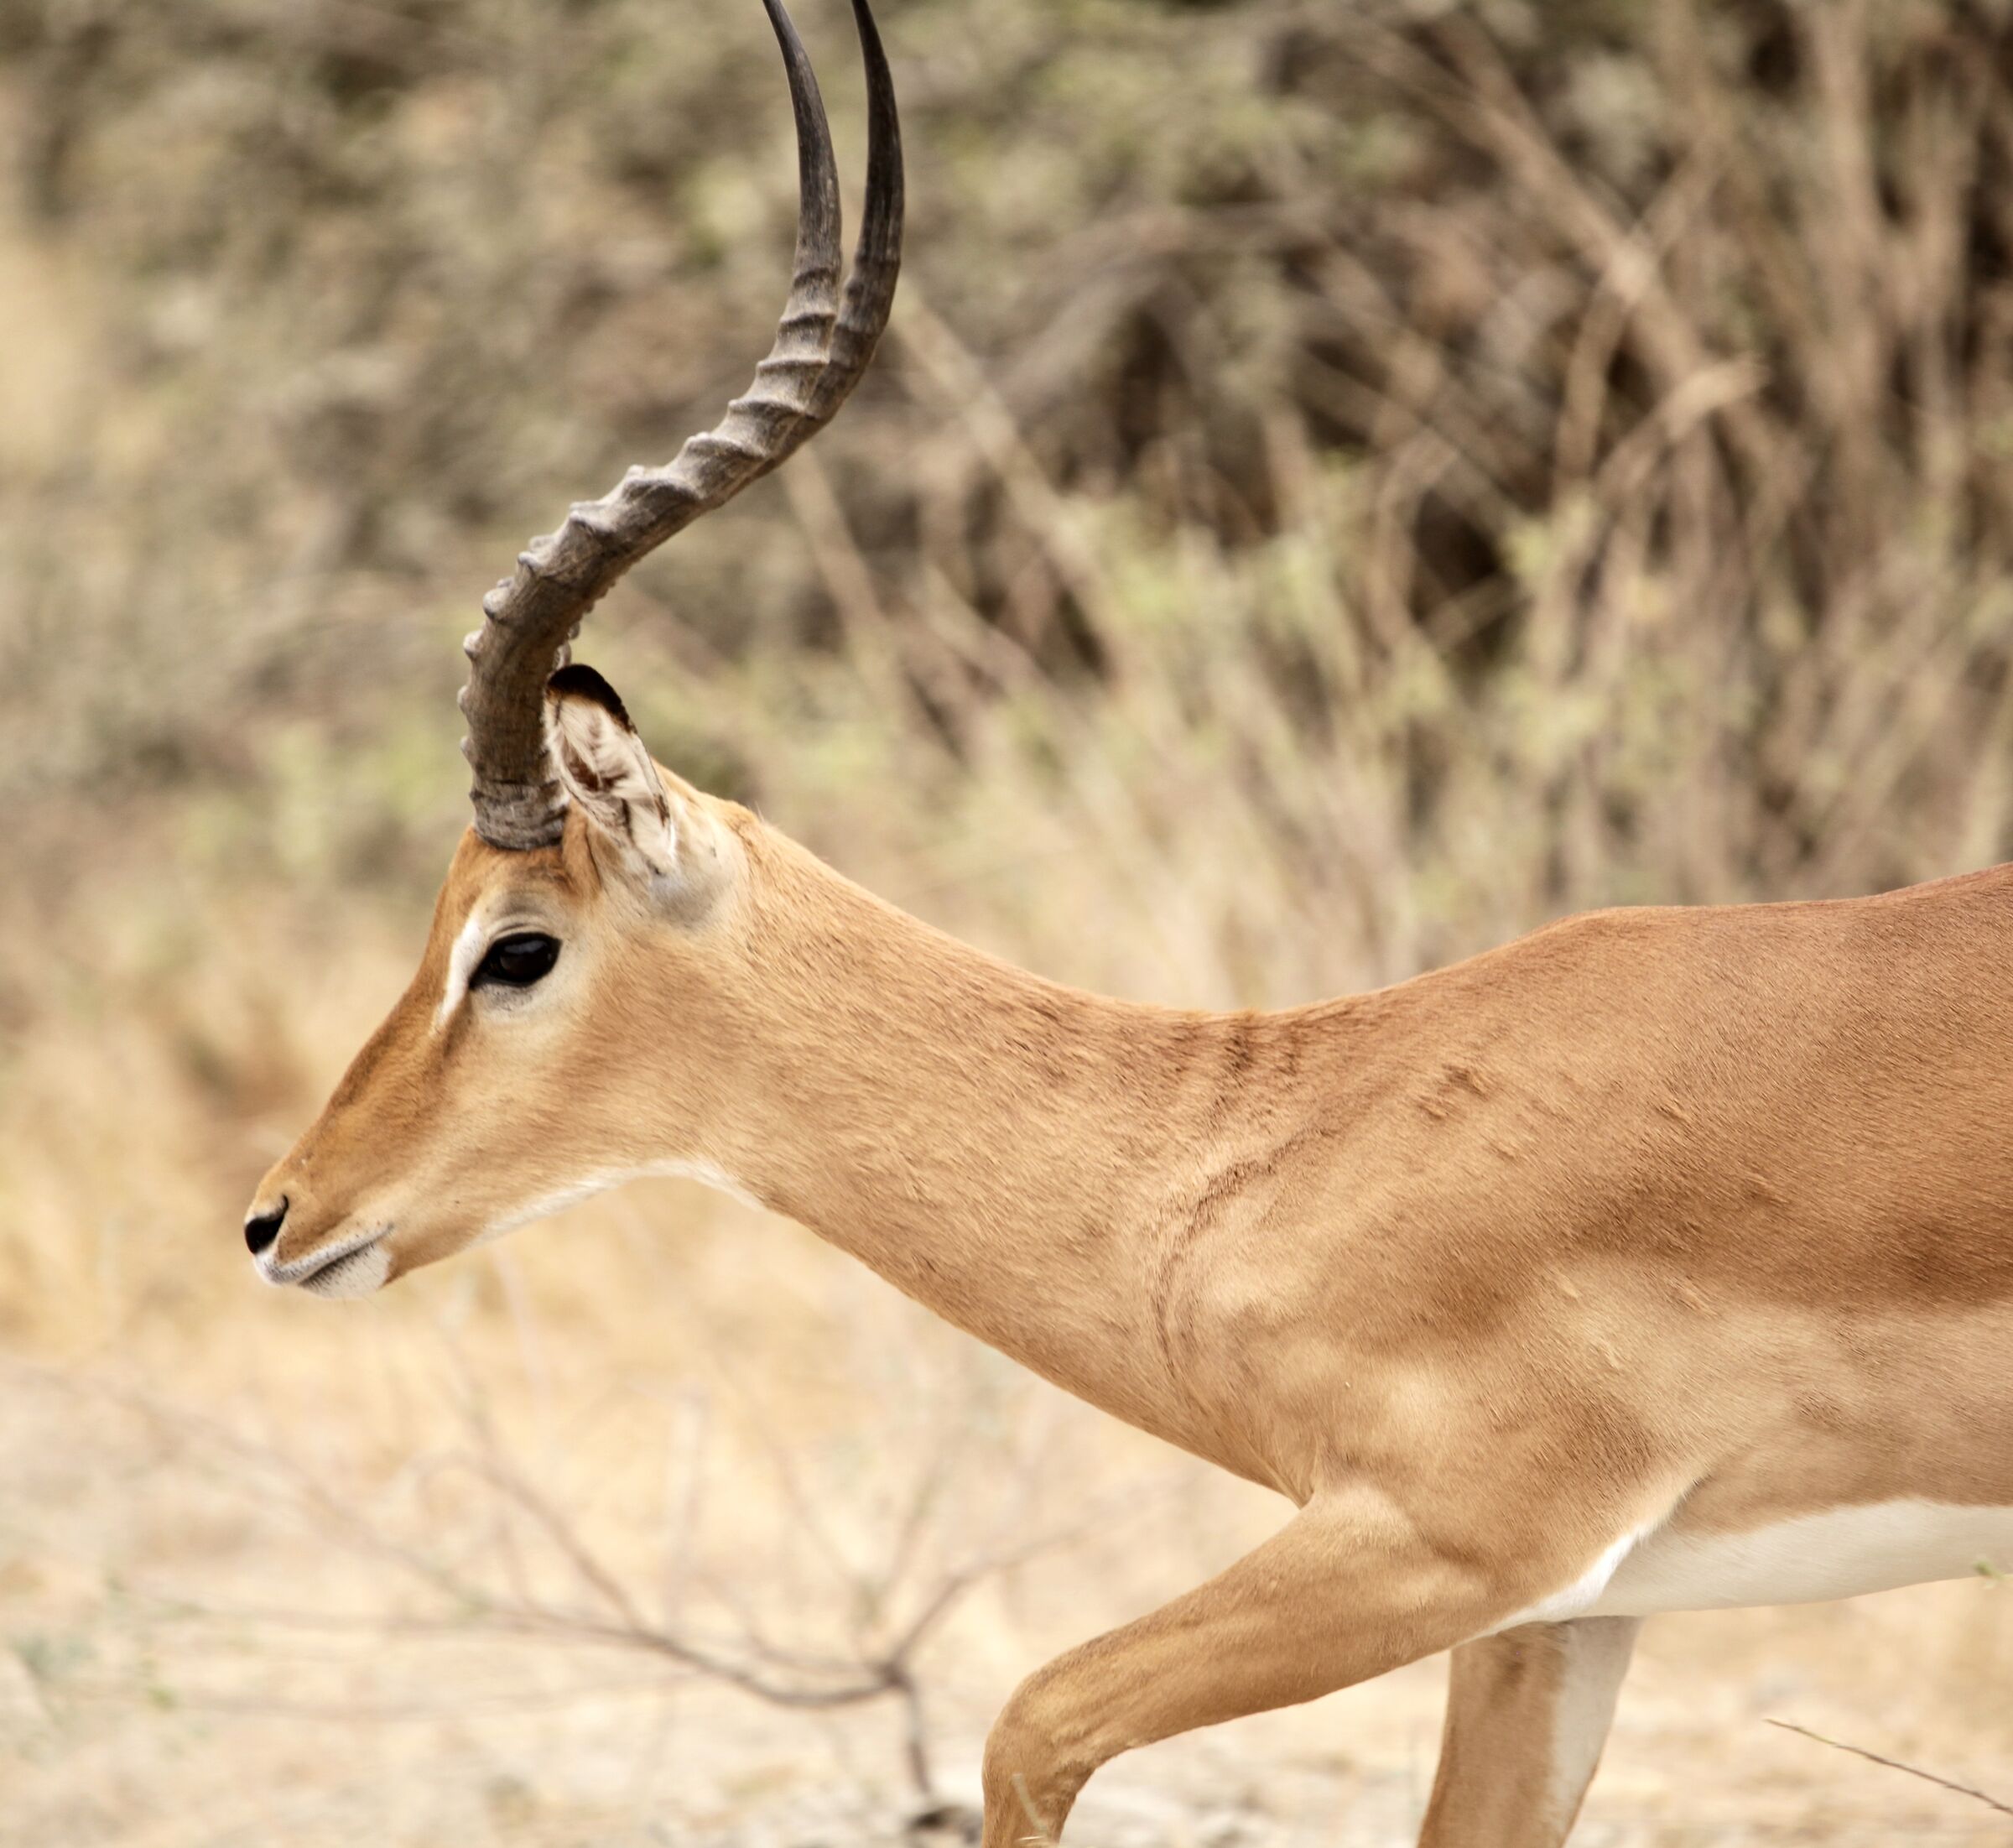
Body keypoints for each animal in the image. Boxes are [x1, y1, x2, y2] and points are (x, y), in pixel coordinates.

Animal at [245, 2, 2013, 1841]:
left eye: (517, 944)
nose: (280, 1216)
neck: (1280, 1142)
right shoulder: (1561, 1615)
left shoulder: (1449, 1540)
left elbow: (1028, 1718)